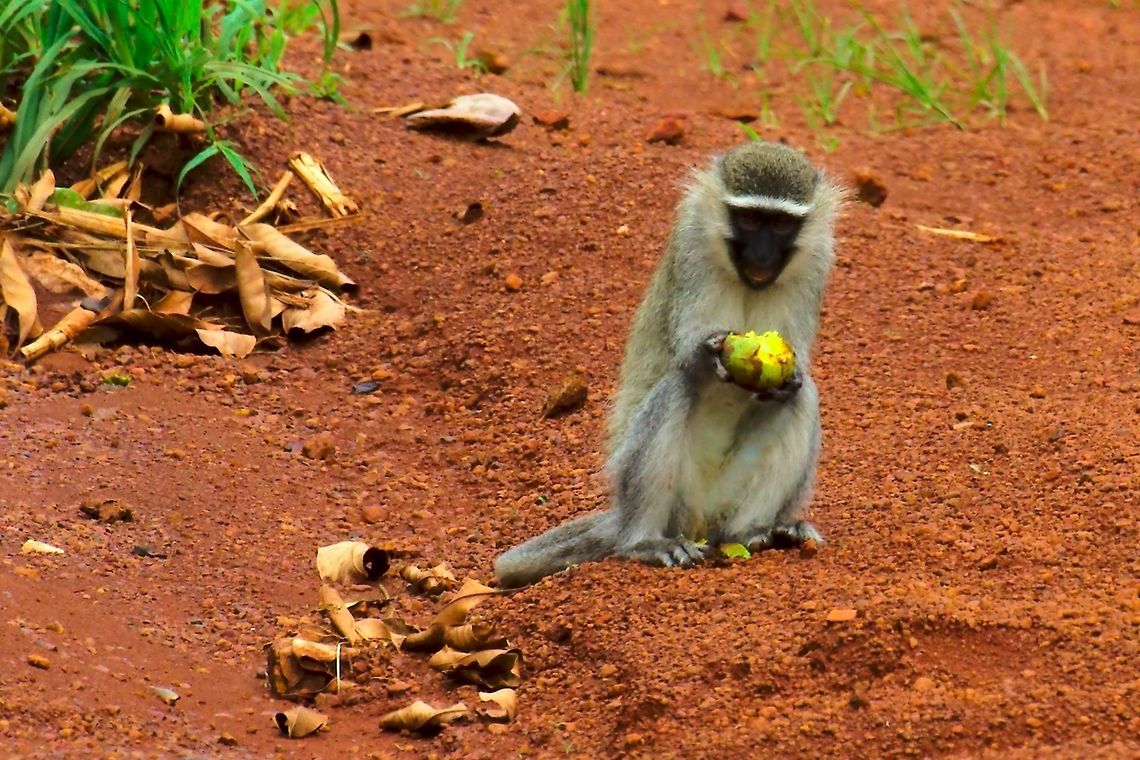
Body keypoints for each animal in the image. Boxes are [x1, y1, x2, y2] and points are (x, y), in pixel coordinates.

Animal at [494, 140, 844, 587]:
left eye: (781, 225)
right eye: (749, 219)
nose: (762, 254)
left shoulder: (817, 259)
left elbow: (795, 371)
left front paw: (788, 377)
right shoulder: (691, 242)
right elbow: (685, 352)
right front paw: (706, 353)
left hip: (727, 499)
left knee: (803, 396)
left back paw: (757, 531)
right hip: (674, 499)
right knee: (677, 387)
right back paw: (645, 542)